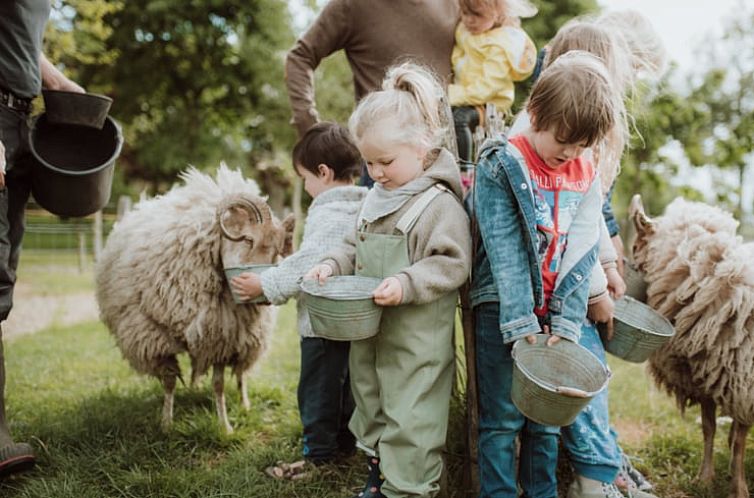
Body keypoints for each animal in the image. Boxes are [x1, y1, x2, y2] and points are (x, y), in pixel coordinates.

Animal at [94, 164, 294, 432]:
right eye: (248, 239)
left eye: (277, 250)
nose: (262, 296)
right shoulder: (155, 337)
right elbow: (169, 381)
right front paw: (166, 424)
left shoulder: (223, 338)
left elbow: (219, 385)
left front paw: (225, 427)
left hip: (249, 339)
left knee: (241, 373)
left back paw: (244, 404)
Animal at [628, 194, 752, 498]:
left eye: (637, 244)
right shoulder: (707, 376)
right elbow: (709, 428)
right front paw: (705, 479)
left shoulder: (744, 385)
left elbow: (740, 441)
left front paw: (739, 488)